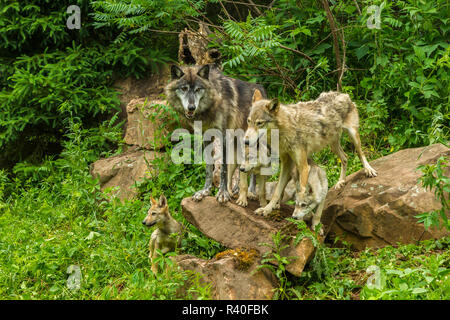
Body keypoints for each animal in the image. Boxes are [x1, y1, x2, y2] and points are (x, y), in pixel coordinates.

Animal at [165, 64, 266, 202]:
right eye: (184, 88)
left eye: (198, 89)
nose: (191, 107)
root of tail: (262, 90)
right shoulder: (206, 137)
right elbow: (209, 168)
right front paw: (205, 191)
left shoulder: (223, 137)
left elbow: (223, 169)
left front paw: (223, 193)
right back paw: (236, 190)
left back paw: (250, 192)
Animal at [244, 89, 378, 216]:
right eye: (248, 121)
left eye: (259, 123)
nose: (245, 141)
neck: (285, 129)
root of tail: (342, 94)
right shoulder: (286, 164)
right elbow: (277, 191)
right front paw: (267, 209)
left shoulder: (304, 166)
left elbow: (302, 192)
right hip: (333, 145)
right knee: (345, 158)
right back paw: (341, 181)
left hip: (353, 136)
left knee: (360, 153)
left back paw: (369, 170)